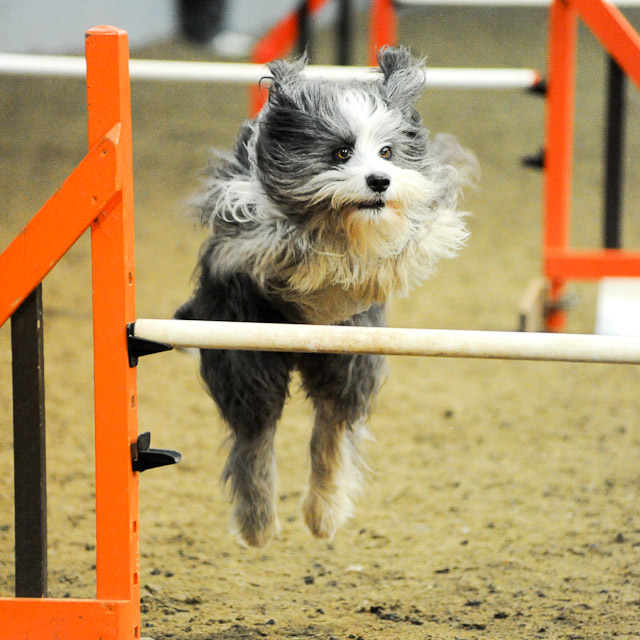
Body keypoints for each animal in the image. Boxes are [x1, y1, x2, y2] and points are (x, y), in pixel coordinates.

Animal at [175, 45, 476, 548]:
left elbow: (411, 241)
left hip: (349, 360)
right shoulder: (242, 218)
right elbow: (287, 243)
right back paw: (258, 523)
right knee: (255, 437)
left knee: (330, 429)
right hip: (244, 355)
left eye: (387, 152)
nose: (380, 181)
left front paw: (372, 266)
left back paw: (323, 513)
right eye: (340, 152)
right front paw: (324, 259)